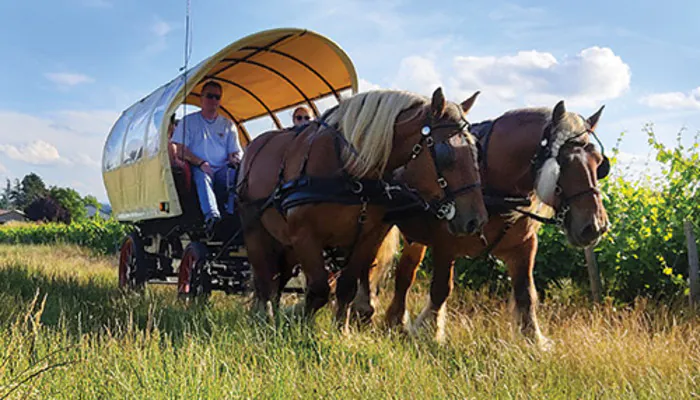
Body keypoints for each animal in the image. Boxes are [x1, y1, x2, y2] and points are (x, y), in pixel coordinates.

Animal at [235, 87, 486, 324]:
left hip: (284, 241)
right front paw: (302, 328)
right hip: (255, 230)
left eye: (476, 149)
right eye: (446, 152)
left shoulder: (367, 237)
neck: (349, 171)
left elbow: (346, 287)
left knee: (278, 278)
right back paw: (264, 317)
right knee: (265, 279)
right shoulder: (304, 236)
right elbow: (318, 290)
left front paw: (342, 331)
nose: (477, 220)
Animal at [372, 100, 612, 346]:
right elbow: (441, 289)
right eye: (563, 162)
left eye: (600, 164)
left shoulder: (524, 247)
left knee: (406, 272)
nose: (595, 226)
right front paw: (430, 332)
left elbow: (526, 293)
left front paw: (533, 339)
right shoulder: (445, 246)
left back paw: (395, 321)